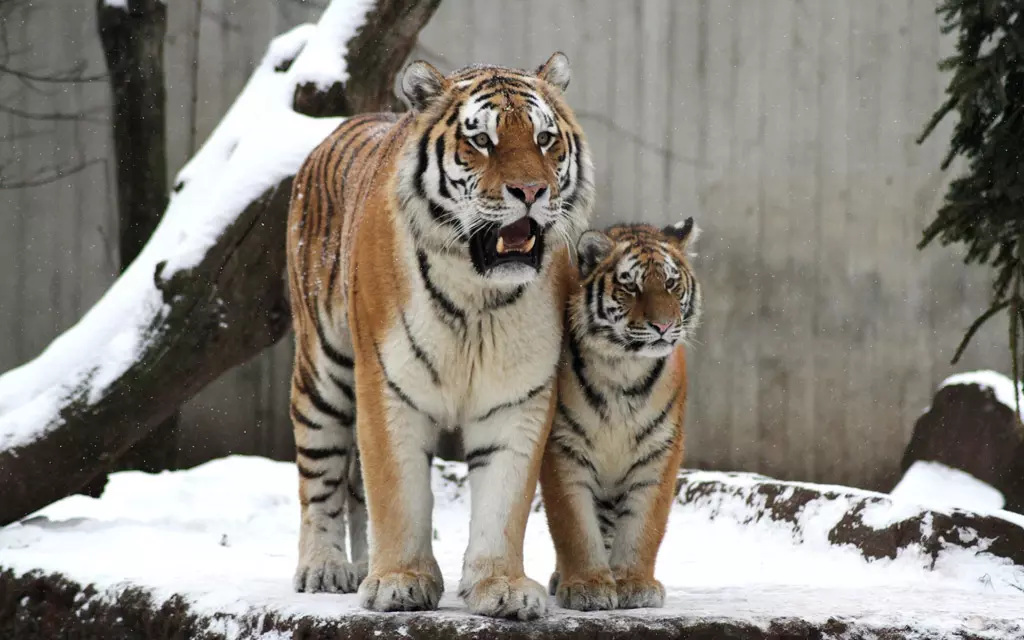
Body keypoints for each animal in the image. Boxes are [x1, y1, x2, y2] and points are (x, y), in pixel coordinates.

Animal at [284, 51, 598, 618]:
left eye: (544, 139)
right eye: (482, 141)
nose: (531, 191)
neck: (478, 295)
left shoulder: (517, 396)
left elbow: (502, 500)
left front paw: (501, 586)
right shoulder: (387, 385)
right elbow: (396, 491)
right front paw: (399, 581)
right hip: (323, 370)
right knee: (320, 475)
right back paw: (325, 568)